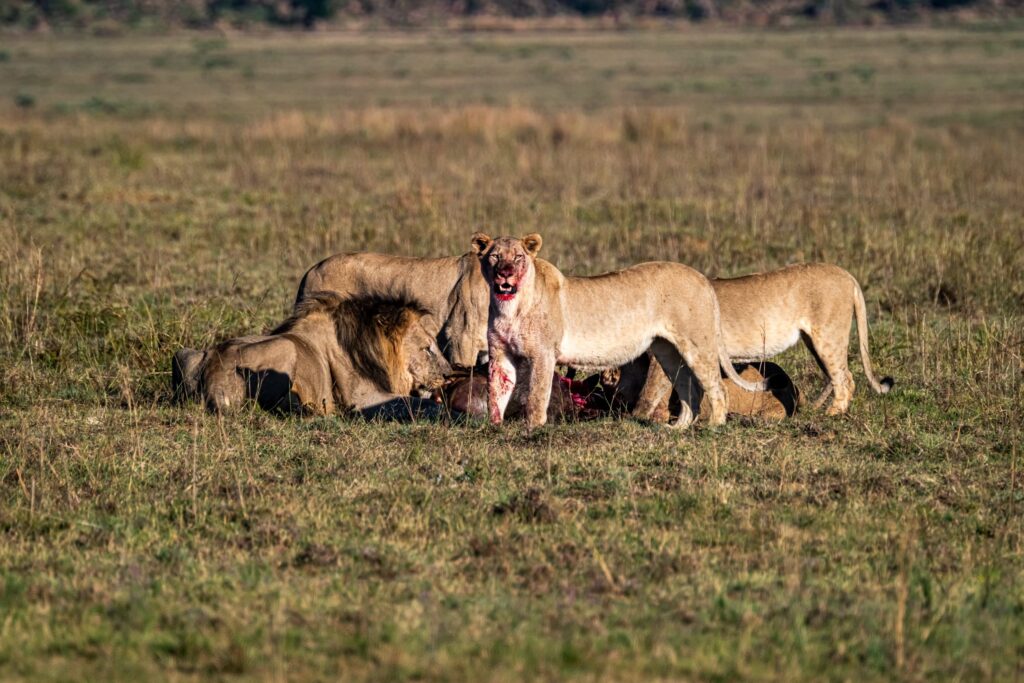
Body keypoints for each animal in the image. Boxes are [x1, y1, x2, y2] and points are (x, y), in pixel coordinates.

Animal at [172, 292, 448, 419]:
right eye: (427, 348)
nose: (449, 374)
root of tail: (212, 375)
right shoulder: (362, 398)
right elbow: (415, 402)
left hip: (185, 354)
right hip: (286, 348)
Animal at [468, 232, 765, 430]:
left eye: (518, 257)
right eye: (495, 256)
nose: (505, 273)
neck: (510, 306)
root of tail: (702, 278)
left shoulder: (543, 354)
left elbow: (537, 394)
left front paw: (533, 428)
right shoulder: (500, 353)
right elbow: (496, 392)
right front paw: (494, 427)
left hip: (697, 344)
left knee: (717, 388)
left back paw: (713, 426)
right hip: (667, 350)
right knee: (689, 387)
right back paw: (676, 429)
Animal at [626, 264, 892, 419]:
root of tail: (846, 274)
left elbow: (651, 389)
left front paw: (635, 417)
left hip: (828, 336)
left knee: (845, 379)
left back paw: (831, 414)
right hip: (814, 340)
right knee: (838, 376)